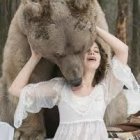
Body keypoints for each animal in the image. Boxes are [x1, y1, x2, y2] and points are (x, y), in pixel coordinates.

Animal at [0, 0, 127, 140]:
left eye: (80, 49)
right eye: (58, 54)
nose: (76, 80)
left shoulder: (99, 27)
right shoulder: (23, 39)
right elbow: (25, 77)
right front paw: (29, 134)